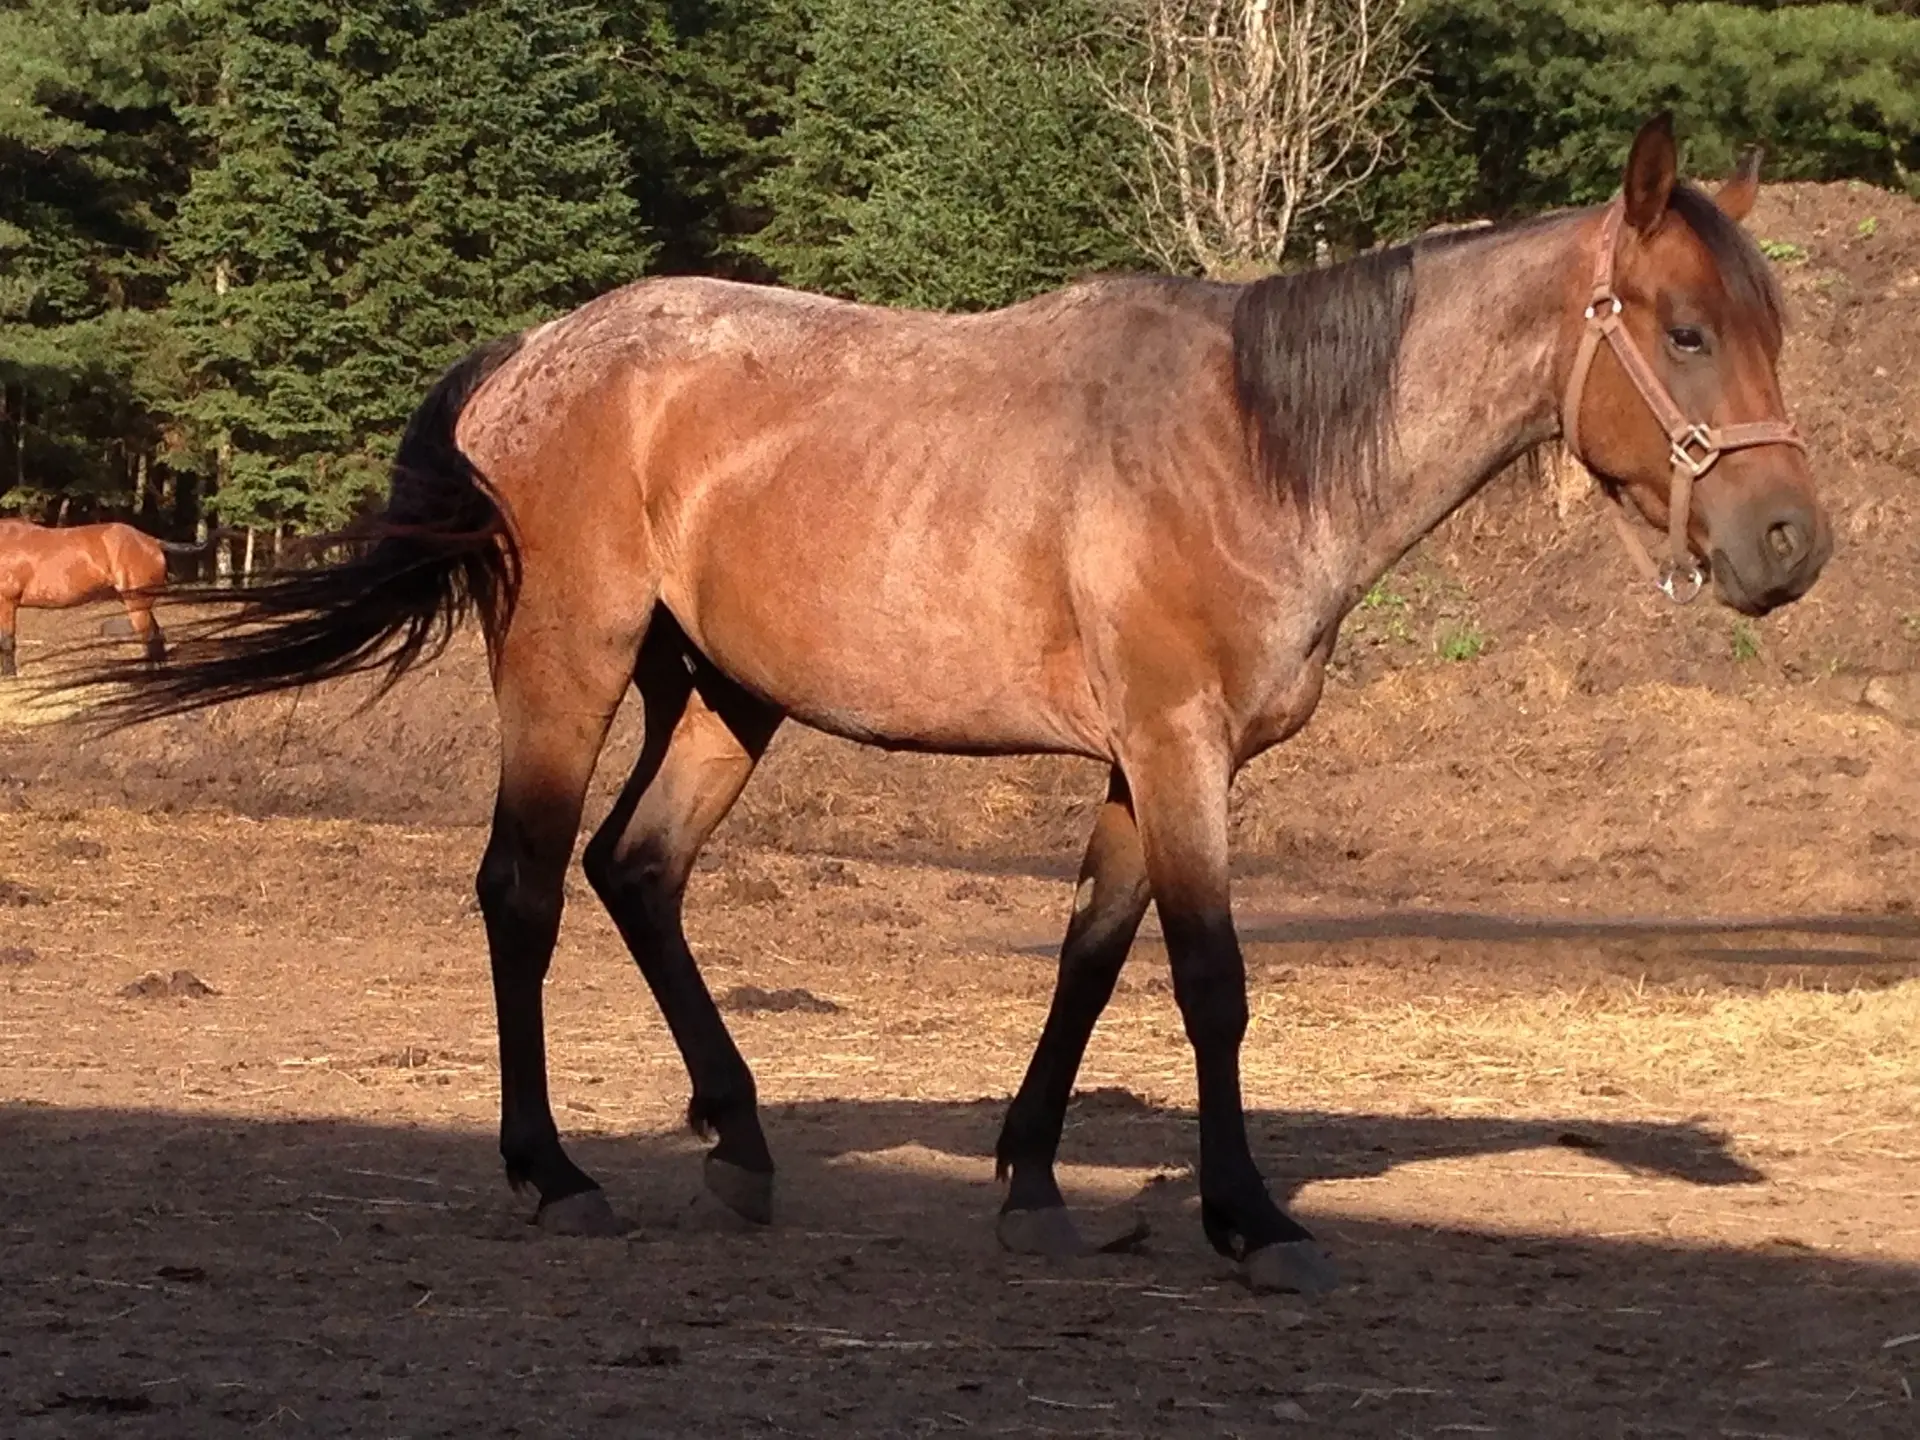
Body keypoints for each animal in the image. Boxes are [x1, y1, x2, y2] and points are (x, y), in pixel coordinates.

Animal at [0, 518, 219, 675]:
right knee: (156, 634)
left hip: (136, 603)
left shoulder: (6, 603)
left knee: (148, 635)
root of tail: (151, 540)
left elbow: (7, 640)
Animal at [86, 118, 1827, 1305]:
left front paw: (1032, 1179)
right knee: (522, 890)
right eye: (1684, 331)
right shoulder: (1182, 753)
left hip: (726, 700)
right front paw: (1249, 1217)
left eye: (1772, 332)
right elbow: (1212, 985)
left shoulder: (1139, 764)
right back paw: (556, 1173)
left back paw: (741, 1142)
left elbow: (1090, 962)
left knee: (637, 873)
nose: (1789, 545)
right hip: (570, 668)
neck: (1253, 446)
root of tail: (530, 354)